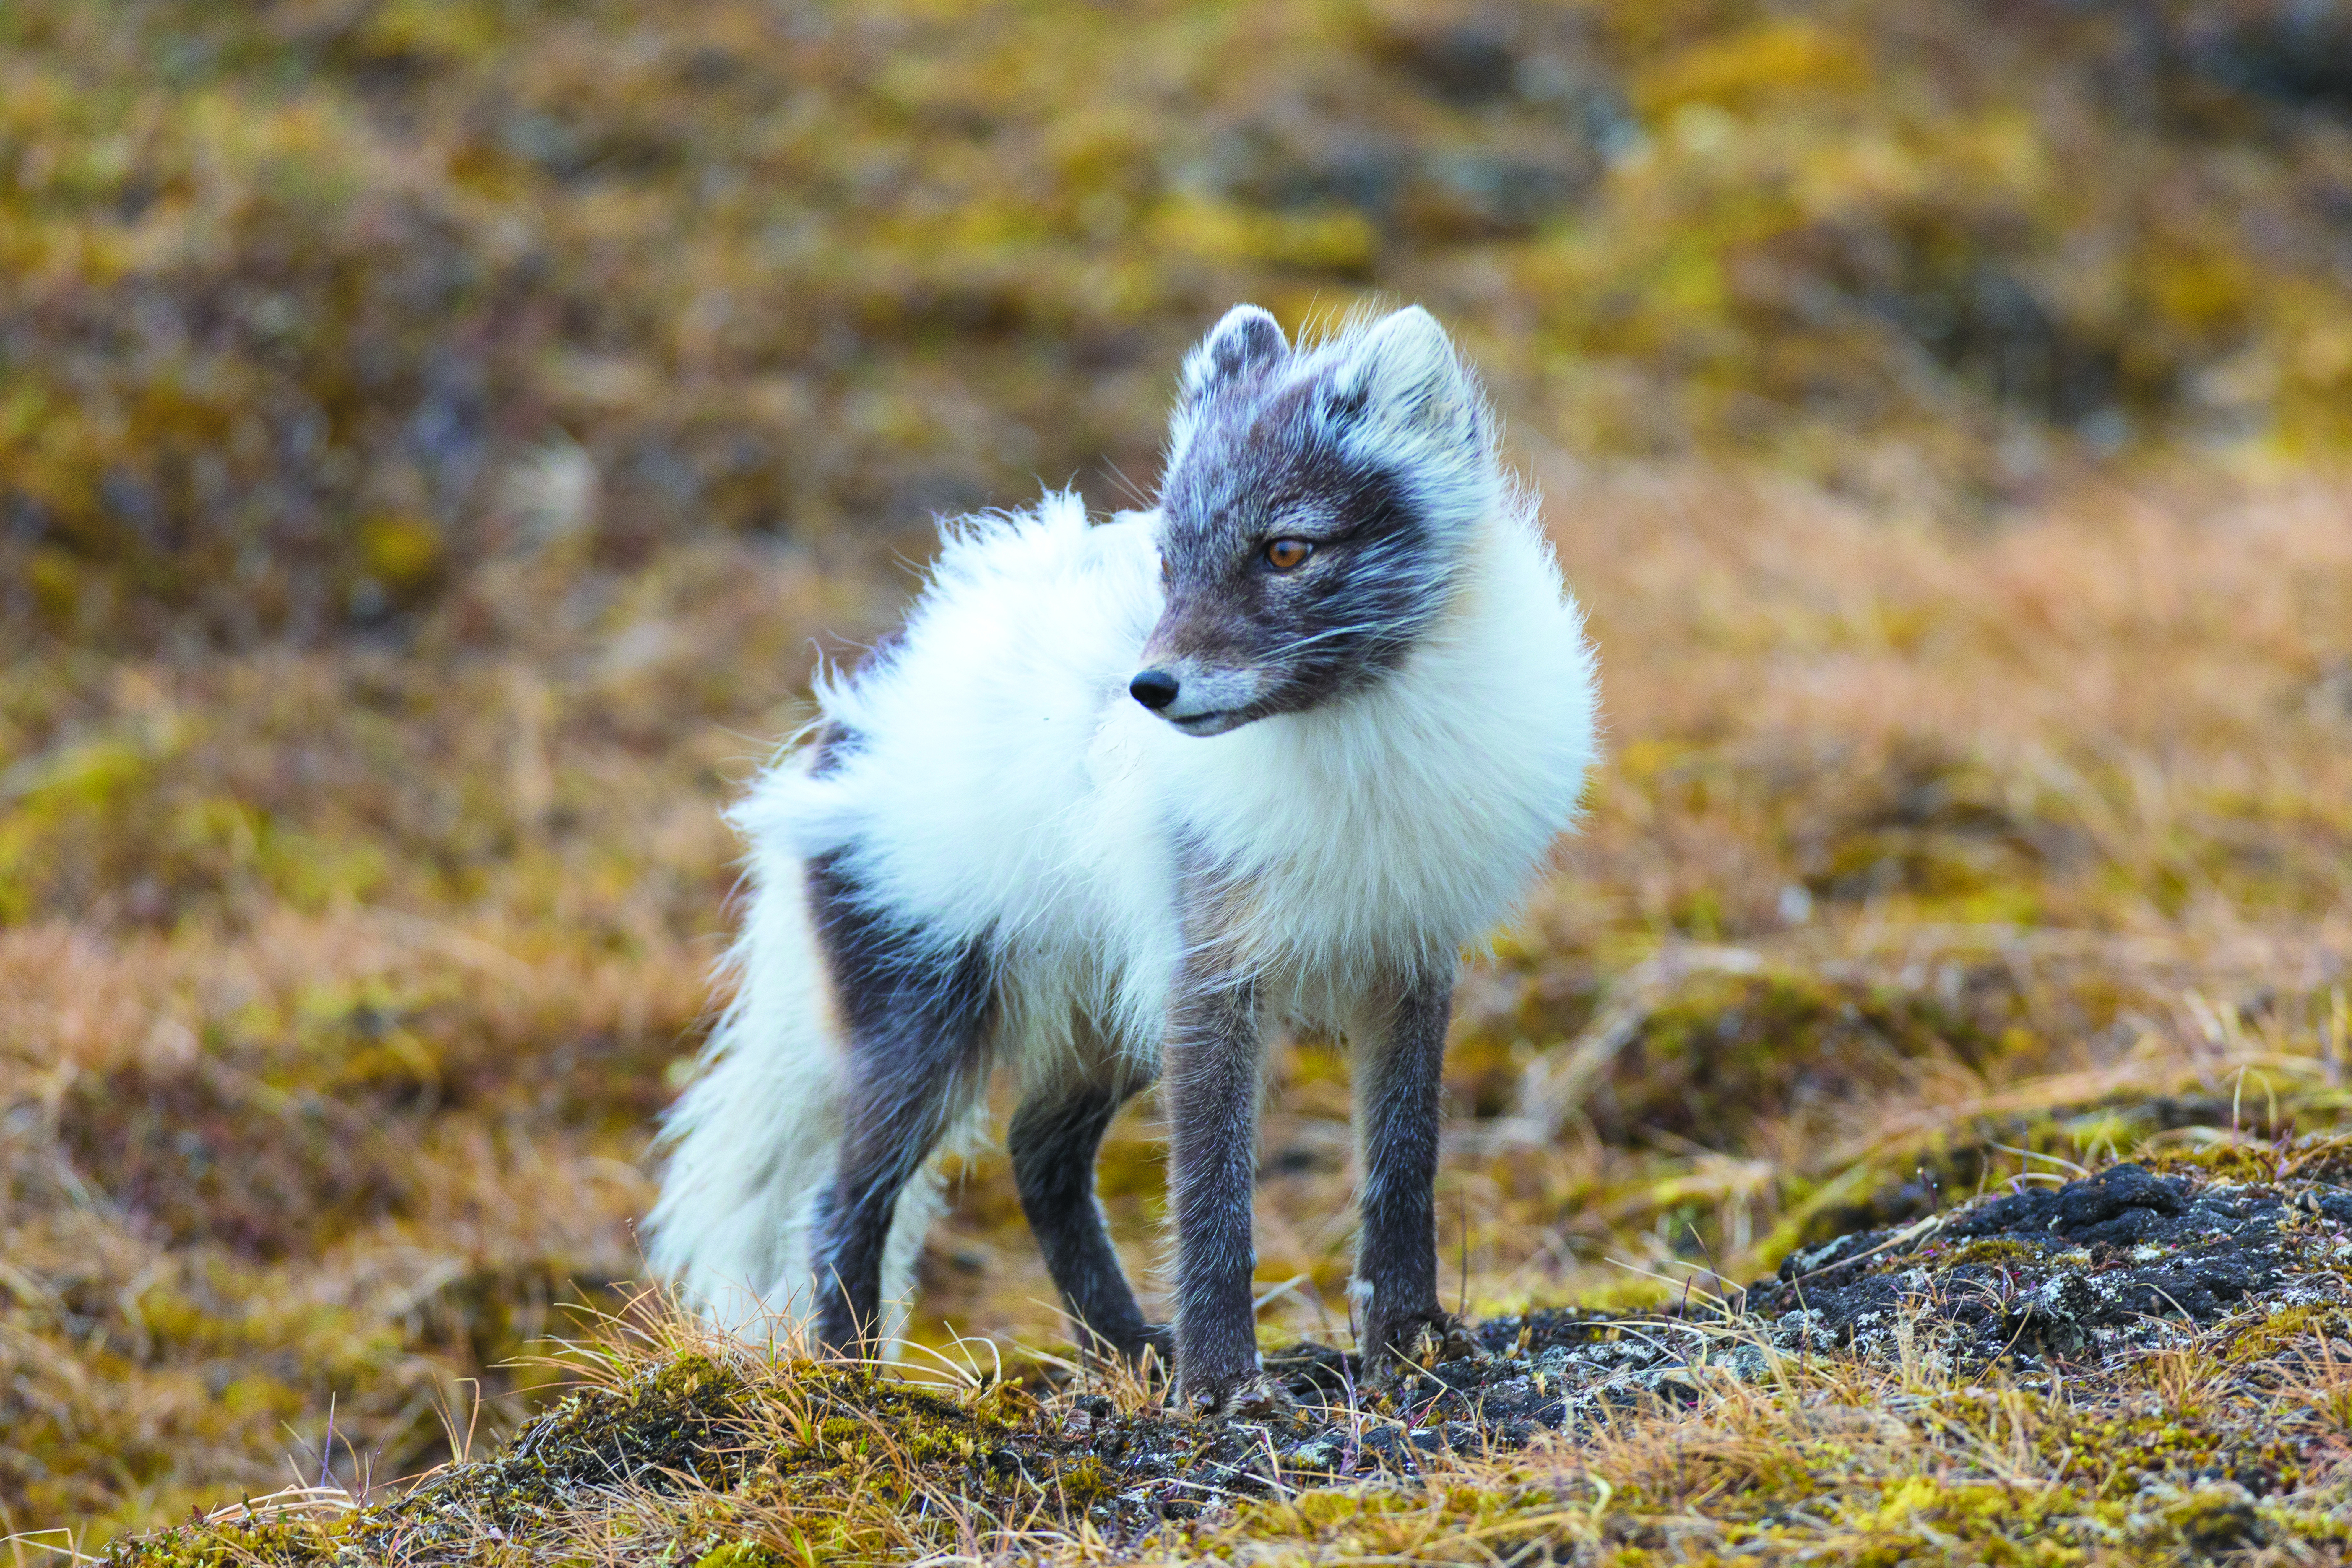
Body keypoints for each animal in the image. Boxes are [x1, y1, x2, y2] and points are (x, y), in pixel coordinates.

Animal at [644, 303, 1599, 1410]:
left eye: (1285, 551)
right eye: (1169, 563)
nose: (1151, 689)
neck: (1355, 739)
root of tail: (846, 720)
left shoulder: (1405, 961)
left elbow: (1402, 1170)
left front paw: (1408, 1344)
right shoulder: (1209, 979)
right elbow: (1211, 1198)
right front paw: (1223, 1386)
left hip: (1106, 1016)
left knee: (1034, 1154)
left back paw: (1128, 1346)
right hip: (926, 1028)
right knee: (842, 1200)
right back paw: (853, 1386)